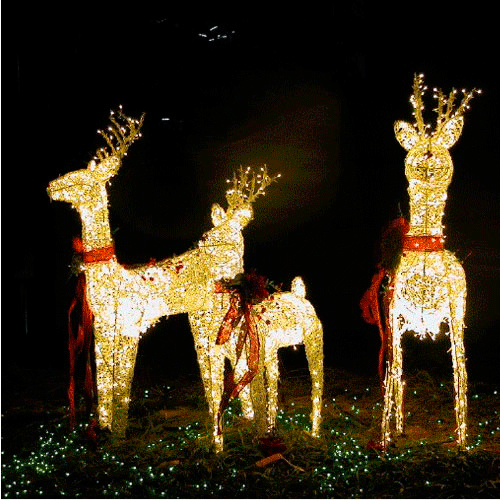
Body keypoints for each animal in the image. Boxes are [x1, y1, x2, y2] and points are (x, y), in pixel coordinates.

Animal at [376, 74, 480, 449]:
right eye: (414, 148)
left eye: (443, 149)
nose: (429, 154)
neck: (424, 246)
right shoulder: (393, 318)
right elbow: (392, 374)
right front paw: (385, 437)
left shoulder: (454, 315)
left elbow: (460, 375)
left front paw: (462, 441)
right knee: (398, 375)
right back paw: (399, 429)